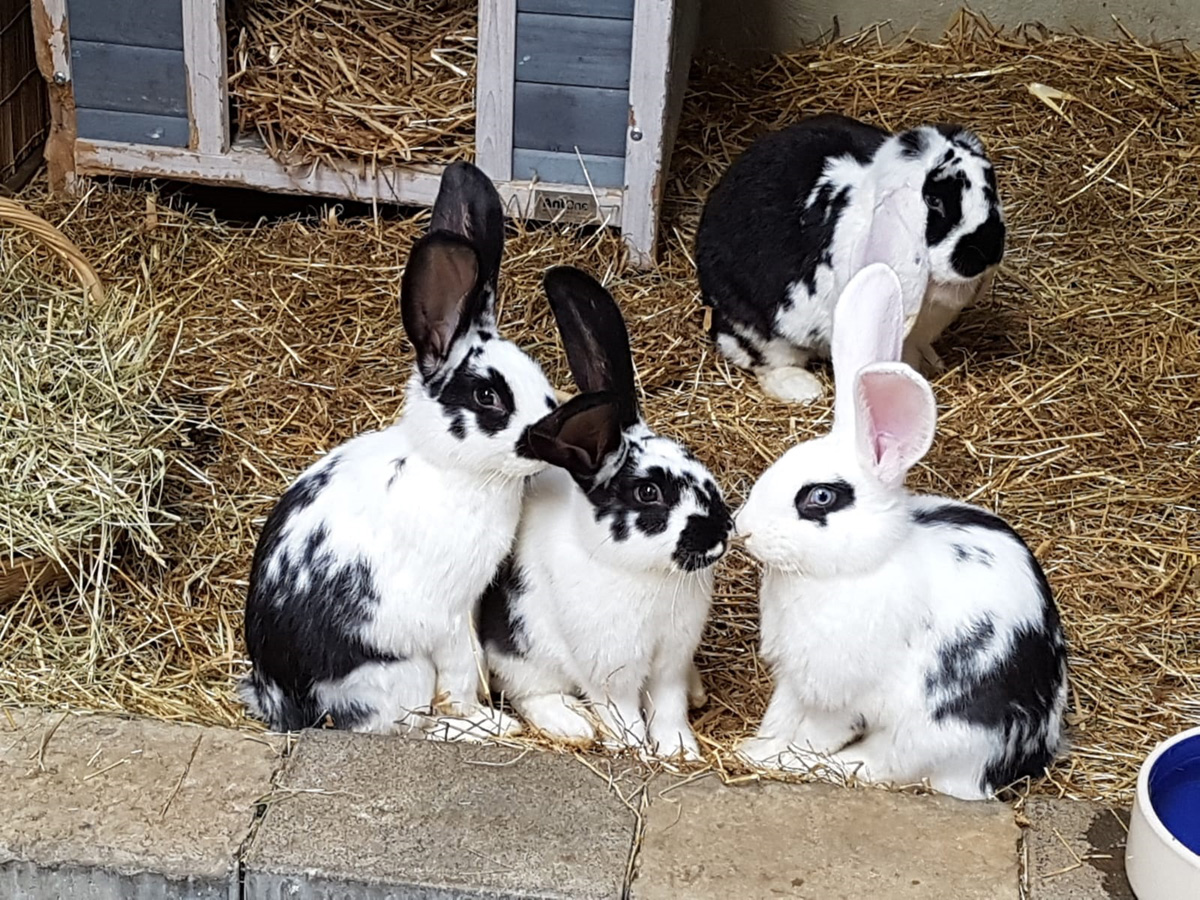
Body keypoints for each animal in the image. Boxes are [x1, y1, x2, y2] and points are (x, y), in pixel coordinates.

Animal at [242, 162, 561, 739]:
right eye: (488, 396)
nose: (549, 433)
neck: (449, 468)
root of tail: (281, 700)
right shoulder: (450, 613)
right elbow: (460, 675)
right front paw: (484, 714)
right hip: (398, 671)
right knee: (398, 724)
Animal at [477, 266, 729, 763]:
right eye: (648, 492)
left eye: (694, 459)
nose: (721, 531)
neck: (645, 575)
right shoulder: (610, 668)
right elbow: (622, 711)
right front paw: (635, 749)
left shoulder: (671, 659)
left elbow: (669, 706)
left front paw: (680, 751)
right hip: (518, 654)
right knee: (529, 693)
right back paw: (572, 725)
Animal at [691, 114, 1008, 403]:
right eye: (934, 201)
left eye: (990, 183)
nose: (988, 248)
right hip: (756, 327)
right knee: (764, 360)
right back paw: (803, 389)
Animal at [729, 260, 1070, 801]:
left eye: (820, 498)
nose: (742, 529)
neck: (860, 566)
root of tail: (1017, 760)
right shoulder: (794, 681)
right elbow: (779, 715)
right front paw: (754, 747)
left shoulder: (840, 695)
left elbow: (815, 733)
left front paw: (772, 758)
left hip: (933, 733)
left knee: (885, 766)